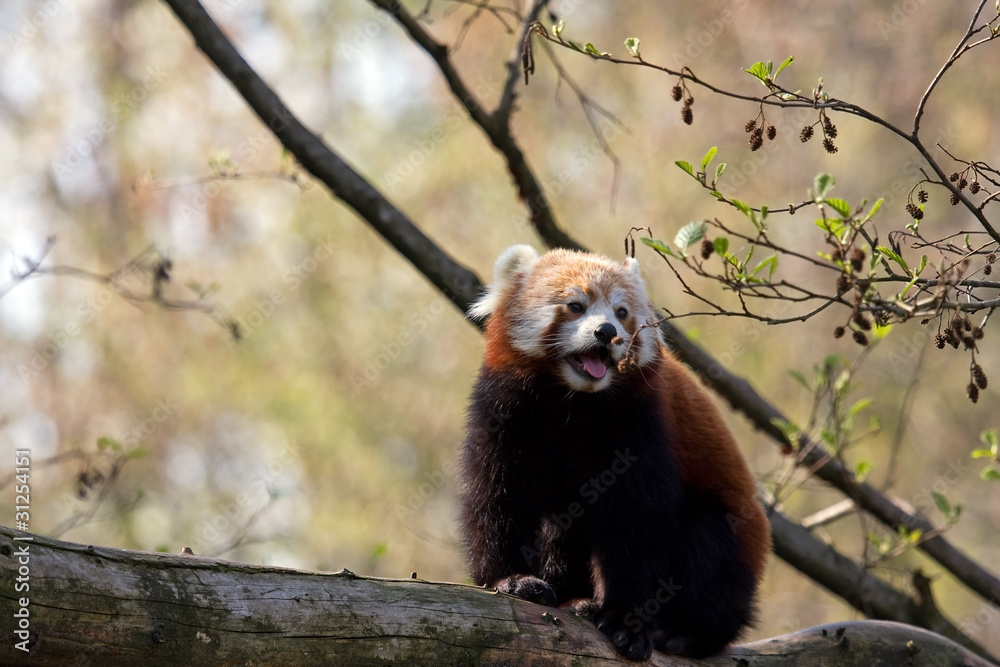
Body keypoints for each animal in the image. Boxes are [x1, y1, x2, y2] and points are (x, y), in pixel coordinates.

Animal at [459, 245, 771, 661]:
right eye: (576, 306)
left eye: (621, 313)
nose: (607, 332)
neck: (573, 401)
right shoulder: (505, 411)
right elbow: (497, 494)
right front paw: (512, 578)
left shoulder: (641, 423)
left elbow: (638, 525)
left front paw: (626, 623)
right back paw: (578, 600)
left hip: (733, 531)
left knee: (709, 556)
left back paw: (683, 633)